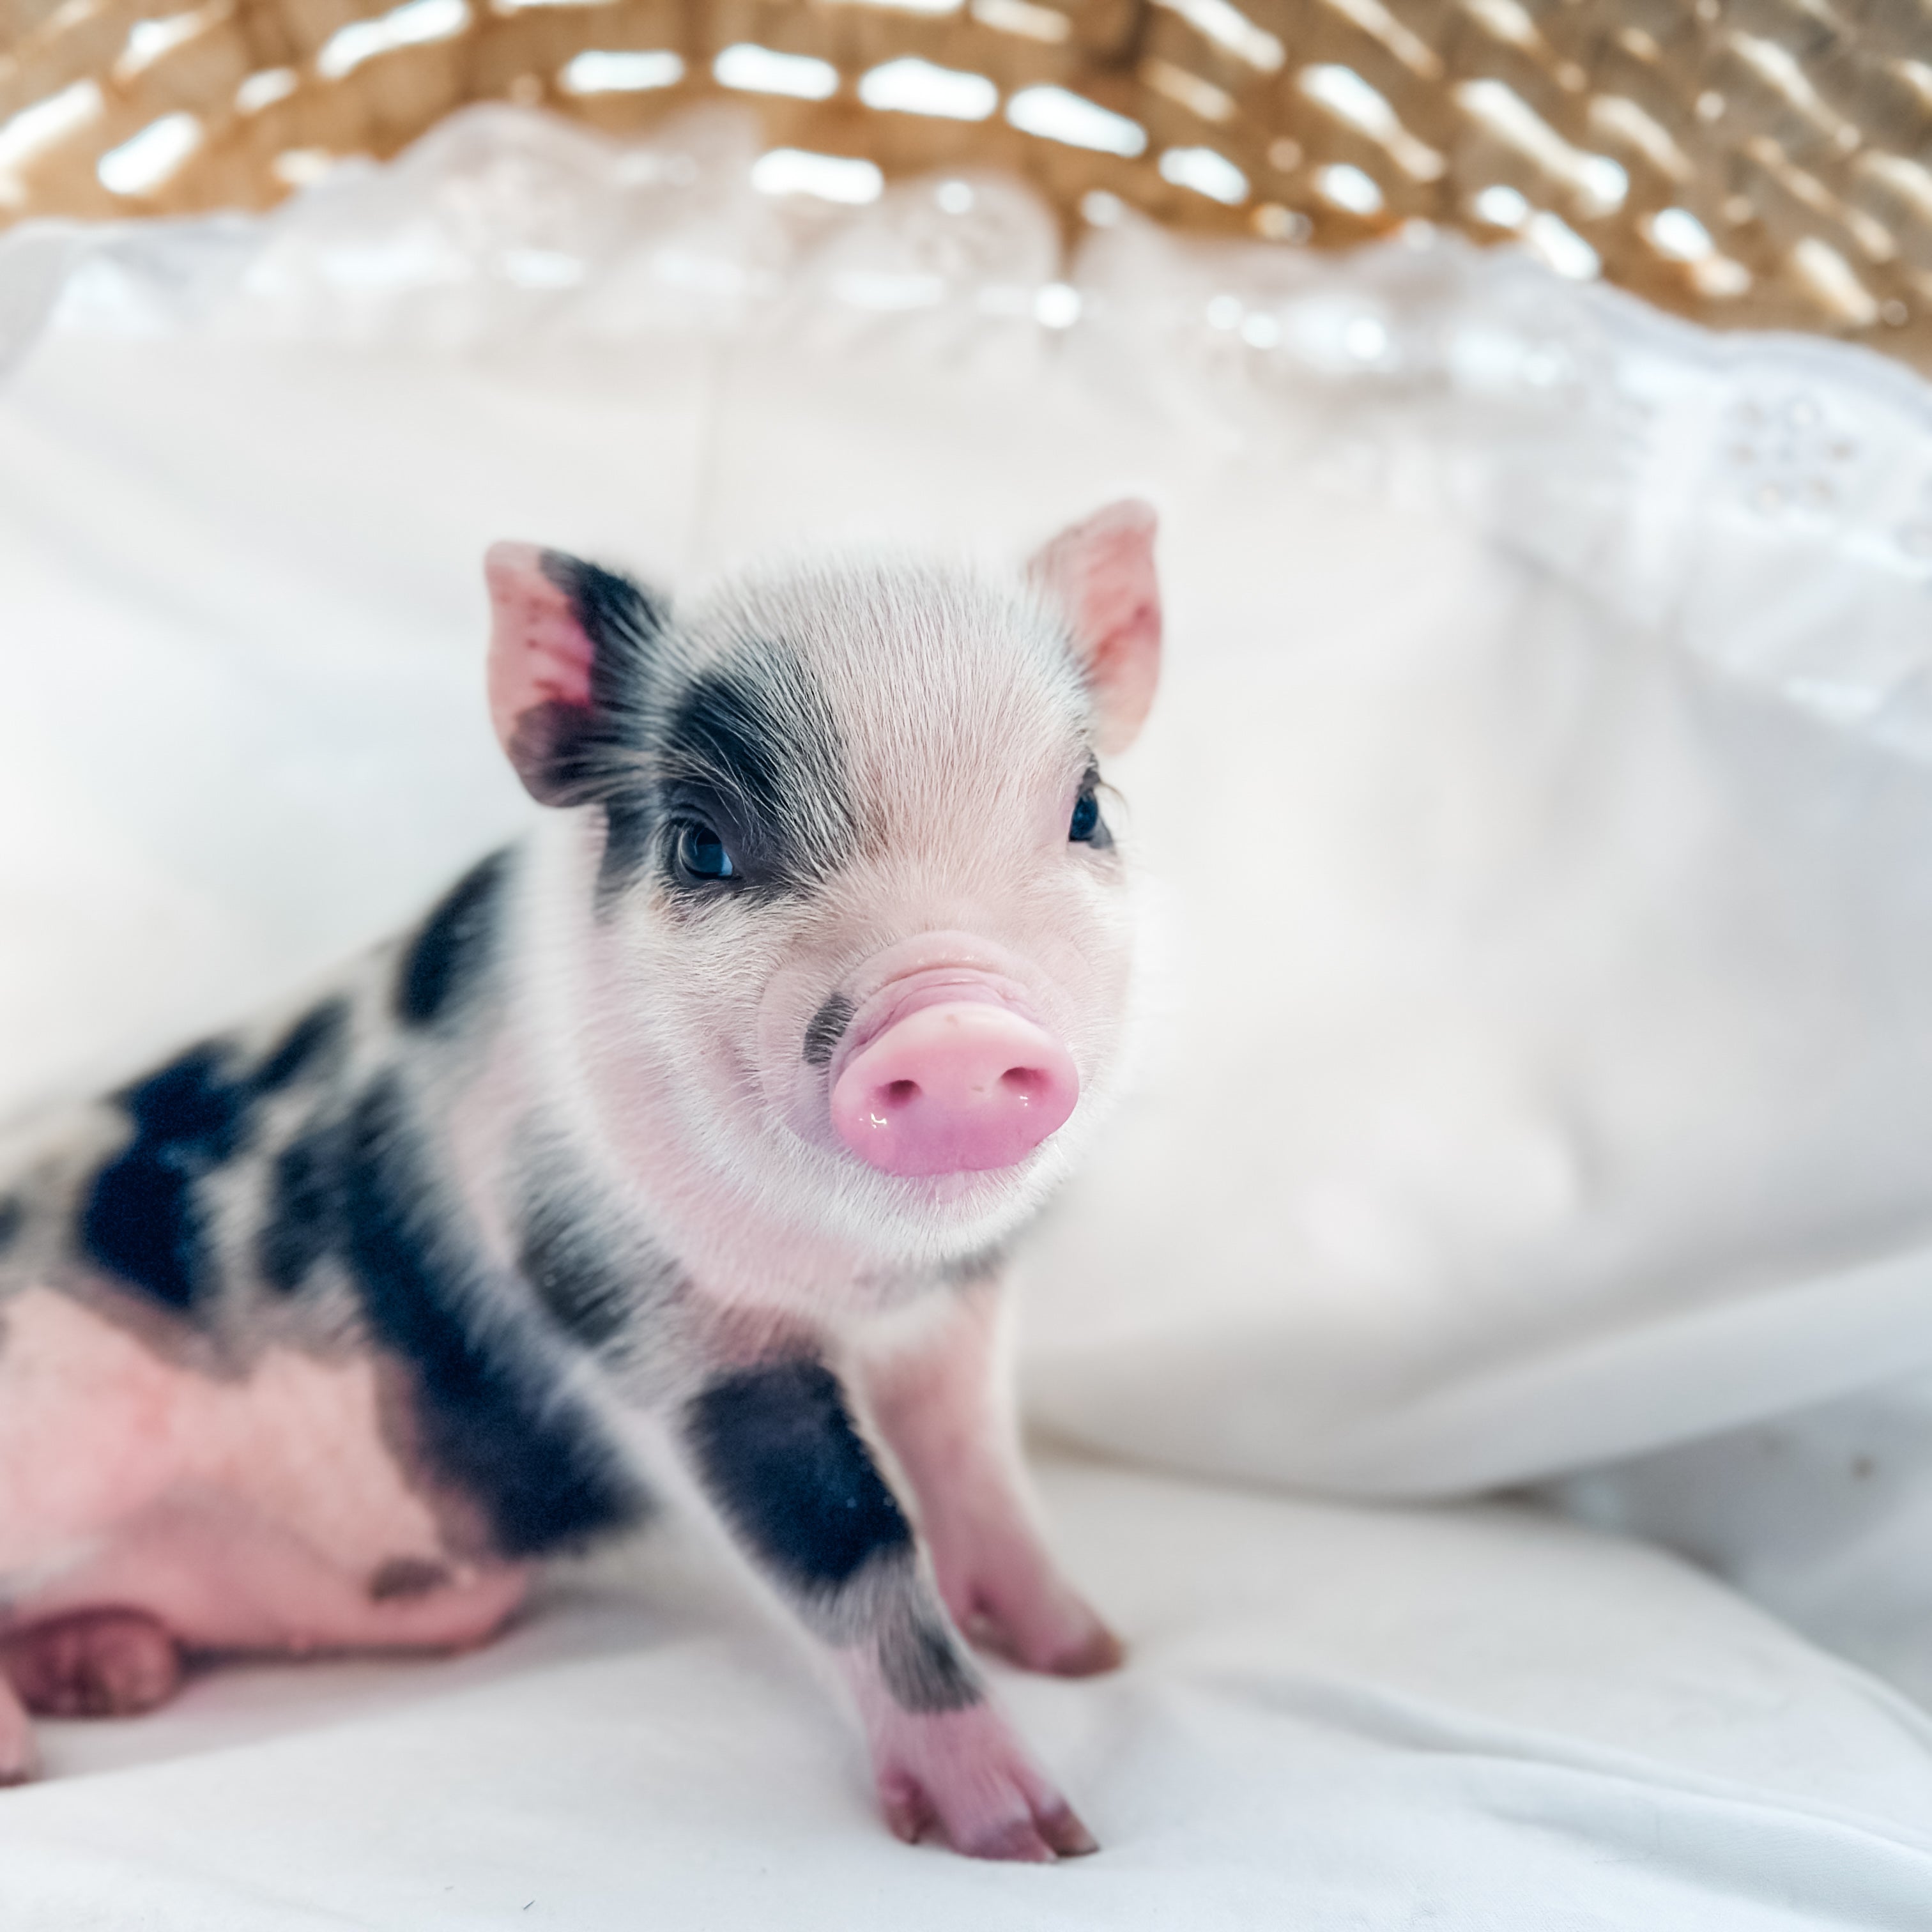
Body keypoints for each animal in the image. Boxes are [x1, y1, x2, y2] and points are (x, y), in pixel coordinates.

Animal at [0, 499, 1162, 1861]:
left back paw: (114, 1673)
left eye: (1082, 808)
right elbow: (847, 1544)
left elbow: (978, 1466)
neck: (867, 1278)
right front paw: (1036, 1836)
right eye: (701, 844)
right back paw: (24, 1754)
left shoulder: (958, 1309)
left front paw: (1088, 1652)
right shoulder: (634, 1307)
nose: (955, 1026)